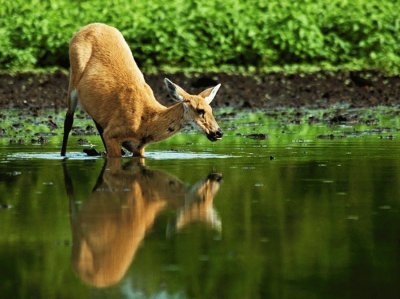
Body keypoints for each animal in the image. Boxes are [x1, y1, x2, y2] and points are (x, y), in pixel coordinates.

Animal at [60, 22, 222, 157]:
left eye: (211, 110)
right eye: (200, 111)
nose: (218, 132)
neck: (146, 123)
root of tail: (85, 27)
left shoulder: (139, 147)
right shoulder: (112, 134)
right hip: (73, 78)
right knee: (68, 120)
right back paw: (63, 154)